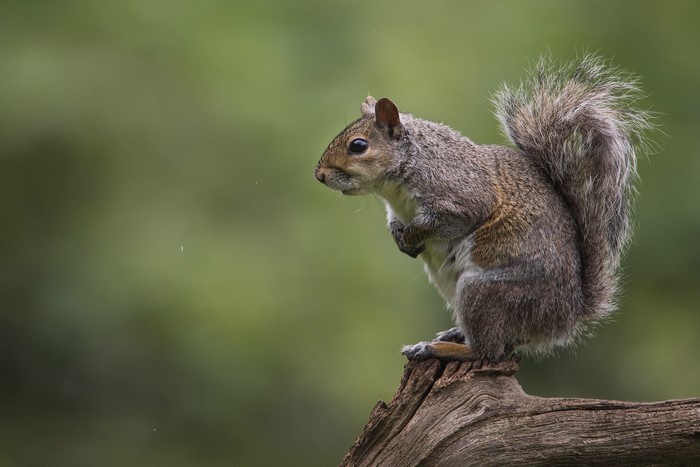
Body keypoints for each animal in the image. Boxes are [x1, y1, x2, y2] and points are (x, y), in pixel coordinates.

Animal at [314, 54, 653, 362]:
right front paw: (401, 237)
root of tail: (562, 319)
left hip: (485, 293)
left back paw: (439, 348)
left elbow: (449, 219)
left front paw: (412, 235)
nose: (319, 174)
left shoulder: (462, 194)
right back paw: (453, 334)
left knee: (488, 351)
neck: (398, 184)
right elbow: (394, 223)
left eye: (358, 146)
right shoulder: (396, 209)